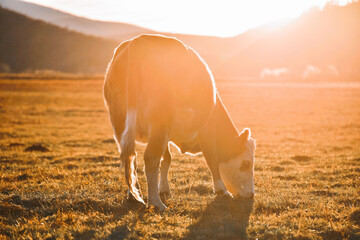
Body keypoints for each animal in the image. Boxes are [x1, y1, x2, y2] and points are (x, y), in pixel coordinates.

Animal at [103, 33, 256, 210]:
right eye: (246, 163)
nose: (251, 195)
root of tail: (138, 41)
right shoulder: (206, 129)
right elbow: (212, 158)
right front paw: (221, 190)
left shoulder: (166, 133)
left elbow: (166, 158)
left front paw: (164, 188)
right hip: (159, 120)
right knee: (150, 158)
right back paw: (156, 202)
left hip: (120, 121)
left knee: (129, 158)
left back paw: (134, 194)